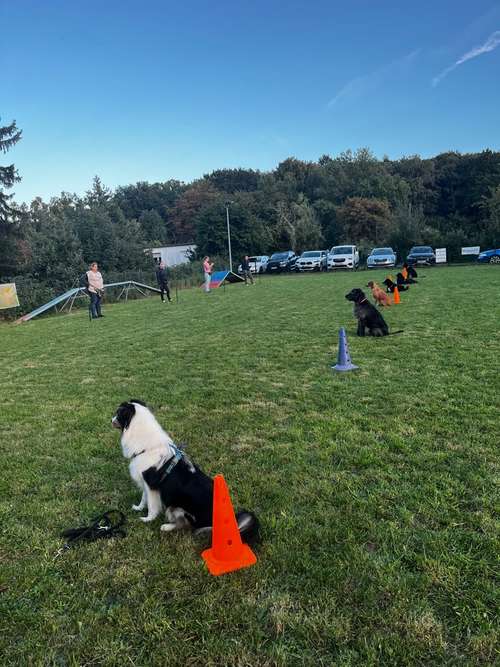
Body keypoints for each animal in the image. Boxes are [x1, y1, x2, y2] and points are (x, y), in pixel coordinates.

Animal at [112, 402, 260, 544]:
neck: (147, 447)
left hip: (176, 507)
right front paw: (138, 508)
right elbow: (144, 498)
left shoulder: (152, 486)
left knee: (186, 525)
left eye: (118, 414)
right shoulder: (146, 482)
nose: (111, 420)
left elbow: (152, 506)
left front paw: (147, 519)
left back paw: (166, 526)